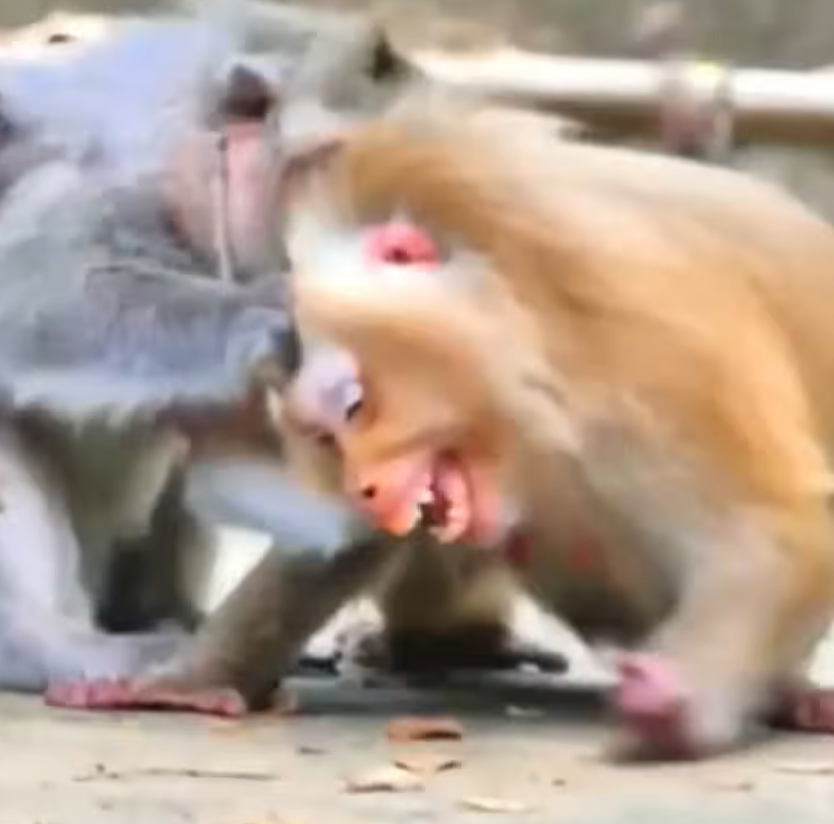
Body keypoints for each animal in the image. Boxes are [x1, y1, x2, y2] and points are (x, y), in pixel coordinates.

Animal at [270, 93, 834, 761]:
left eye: (355, 406)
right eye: (328, 442)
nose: (366, 489)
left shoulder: (652, 332)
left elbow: (777, 525)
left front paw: (678, 704)